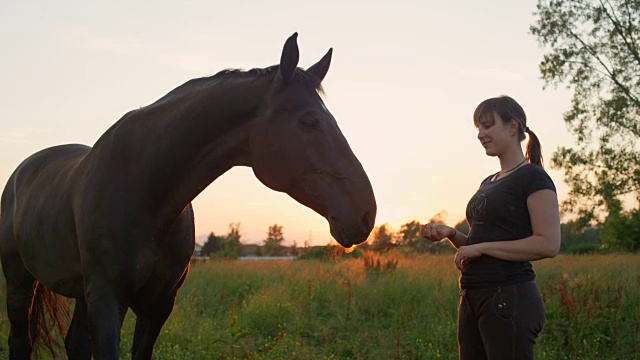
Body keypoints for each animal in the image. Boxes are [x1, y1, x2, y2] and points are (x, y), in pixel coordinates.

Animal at [0, 32, 378, 358]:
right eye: (309, 121)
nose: (366, 213)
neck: (145, 190)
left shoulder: (158, 304)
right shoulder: (108, 299)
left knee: (75, 343)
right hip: (20, 281)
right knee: (21, 341)